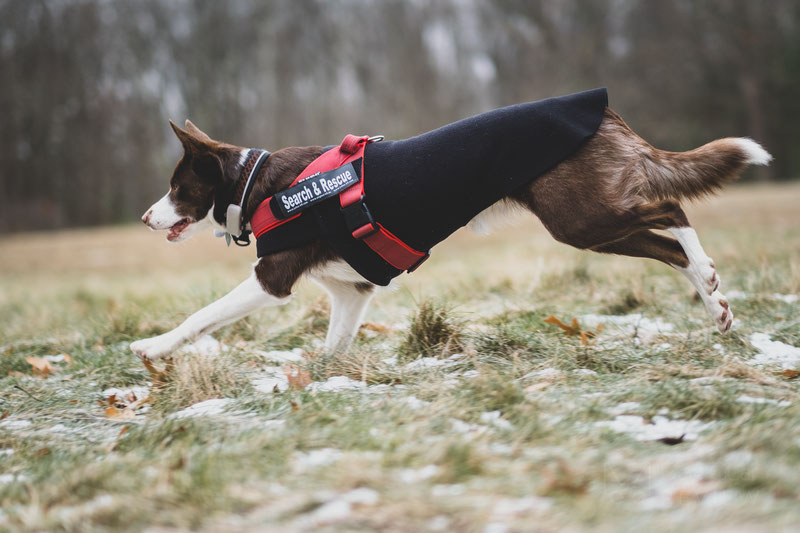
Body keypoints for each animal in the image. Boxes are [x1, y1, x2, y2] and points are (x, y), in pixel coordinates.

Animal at [130, 90, 768, 362]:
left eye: (176, 188)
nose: (145, 216)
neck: (254, 182)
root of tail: (605, 110)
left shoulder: (272, 278)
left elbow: (200, 316)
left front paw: (153, 346)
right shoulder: (352, 289)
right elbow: (334, 345)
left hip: (581, 218)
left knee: (672, 211)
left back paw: (708, 274)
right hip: (591, 221)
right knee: (668, 242)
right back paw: (716, 302)